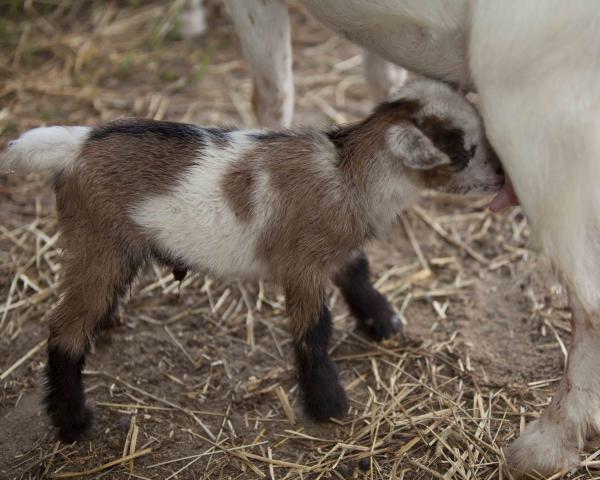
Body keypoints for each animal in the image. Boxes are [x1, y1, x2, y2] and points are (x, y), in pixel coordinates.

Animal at [3, 79, 502, 442]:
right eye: (465, 152)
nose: (501, 178)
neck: (348, 175)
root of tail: (78, 144)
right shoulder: (302, 265)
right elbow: (313, 332)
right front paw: (328, 406)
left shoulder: (333, 251)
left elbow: (358, 274)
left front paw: (383, 322)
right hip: (98, 243)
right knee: (64, 332)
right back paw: (73, 423)